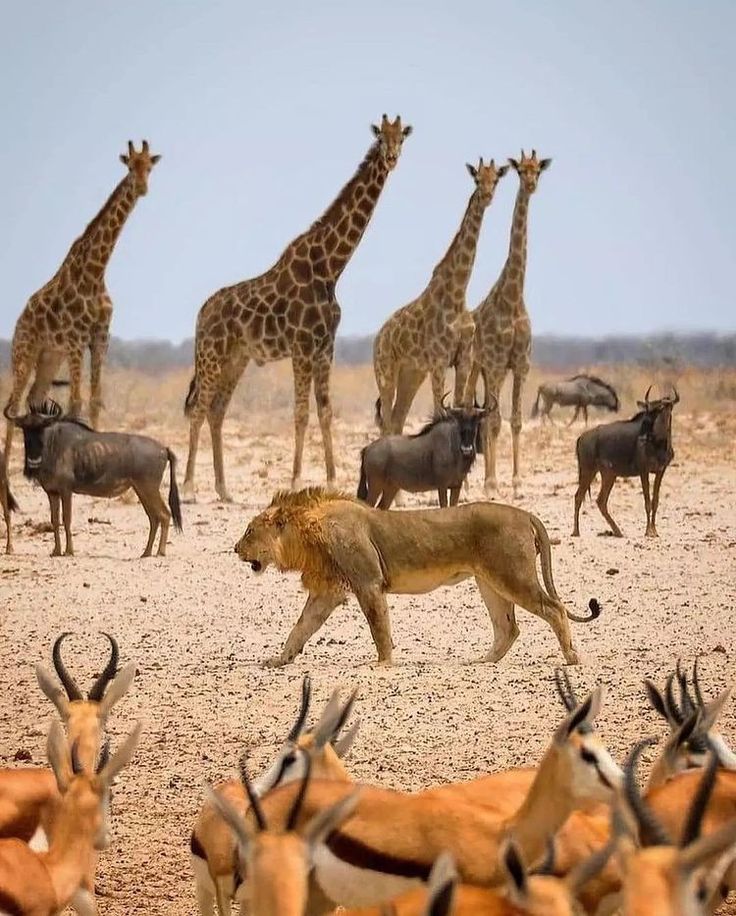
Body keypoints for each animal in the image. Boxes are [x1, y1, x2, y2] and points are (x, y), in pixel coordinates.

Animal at [3, 141, 160, 472]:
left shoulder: (100, 337)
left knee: (33, 400)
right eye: (131, 166)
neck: (96, 271)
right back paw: (6, 487)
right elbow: (75, 402)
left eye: (149, 167)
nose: (142, 188)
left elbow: (94, 400)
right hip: (25, 352)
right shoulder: (76, 339)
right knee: (13, 405)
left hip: (49, 357)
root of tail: (19, 321)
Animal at [183, 116, 414, 500]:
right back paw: (188, 487)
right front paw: (294, 480)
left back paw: (224, 489)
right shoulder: (302, 346)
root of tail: (201, 314)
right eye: (381, 138)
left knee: (216, 411)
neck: (330, 268)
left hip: (236, 359)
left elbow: (326, 412)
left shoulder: (325, 346)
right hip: (211, 355)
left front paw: (333, 480)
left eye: (402, 138)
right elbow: (301, 413)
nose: (393, 158)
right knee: (199, 410)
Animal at [233, 486, 600, 664]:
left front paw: (382, 664)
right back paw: (483, 662)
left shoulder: (368, 583)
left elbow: (379, 627)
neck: (306, 534)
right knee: (508, 627)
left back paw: (571, 657)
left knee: (554, 609)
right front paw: (280, 659)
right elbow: (300, 627)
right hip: (490, 582)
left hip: (512, 575)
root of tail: (525, 514)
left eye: (249, 531)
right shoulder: (328, 591)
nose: (235, 548)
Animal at [370, 158, 508, 436]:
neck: (458, 294)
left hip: (412, 373)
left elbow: (460, 404)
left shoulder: (463, 358)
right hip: (386, 370)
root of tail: (378, 338)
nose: (487, 196)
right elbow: (439, 411)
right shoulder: (438, 360)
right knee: (387, 421)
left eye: (496, 179)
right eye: (477, 178)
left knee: (398, 420)